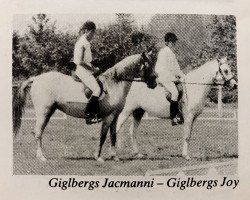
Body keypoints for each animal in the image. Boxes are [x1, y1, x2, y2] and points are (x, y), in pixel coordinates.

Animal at [13, 52, 156, 162]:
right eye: (149, 65)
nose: (154, 83)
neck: (114, 84)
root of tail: (36, 78)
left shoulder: (115, 117)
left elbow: (113, 136)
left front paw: (115, 157)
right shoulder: (108, 117)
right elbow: (103, 136)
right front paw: (98, 157)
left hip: (49, 112)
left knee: (40, 132)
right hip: (43, 111)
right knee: (38, 132)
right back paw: (41, 157)